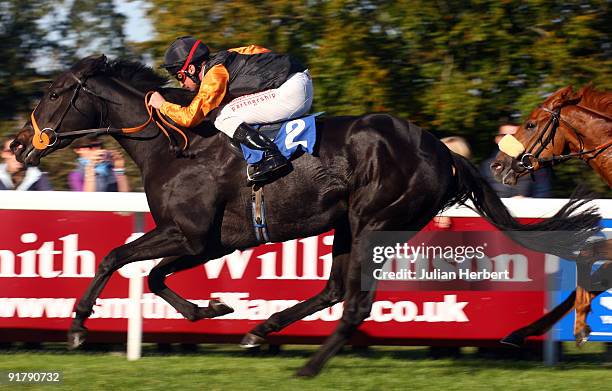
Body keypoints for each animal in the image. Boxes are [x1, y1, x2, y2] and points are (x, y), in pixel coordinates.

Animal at [492, 85, 612, 346]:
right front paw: (520, 332)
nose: (496, 166)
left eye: (530, 124)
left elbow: (587, 255)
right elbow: (597, 276)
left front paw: (580, 322)